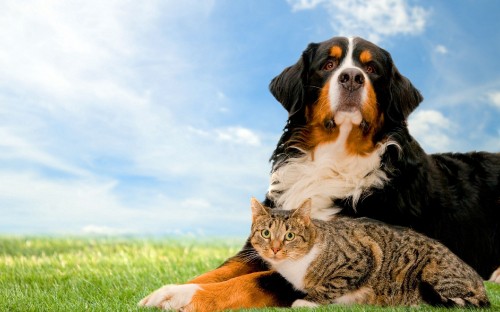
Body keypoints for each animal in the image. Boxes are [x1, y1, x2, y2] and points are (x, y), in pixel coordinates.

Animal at [248, 197, 490, 308]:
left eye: (289, 236)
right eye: (266, 233)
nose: (275, 248)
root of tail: (479, 282)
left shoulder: (362, 255)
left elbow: (332, 284)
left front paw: (307, 302)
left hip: (434, 271)